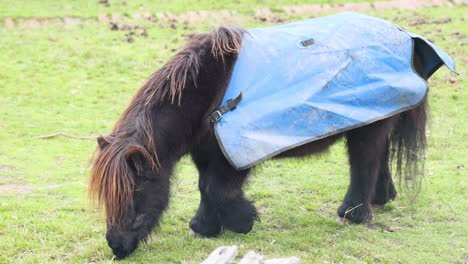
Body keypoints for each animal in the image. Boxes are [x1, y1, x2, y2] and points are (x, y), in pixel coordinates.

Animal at [88, 26, 428, 258]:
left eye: (135, 191)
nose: (116, 246)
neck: (209, 91)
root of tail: (405, 37)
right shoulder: (206, 153)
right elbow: (205, 188)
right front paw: (205, 227)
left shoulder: (232, 154)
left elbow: (216, 189)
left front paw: (242, 221)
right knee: (380, 157)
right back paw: (380, 198)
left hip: (366, 128)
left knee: (364, 161)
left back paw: (353, 213)